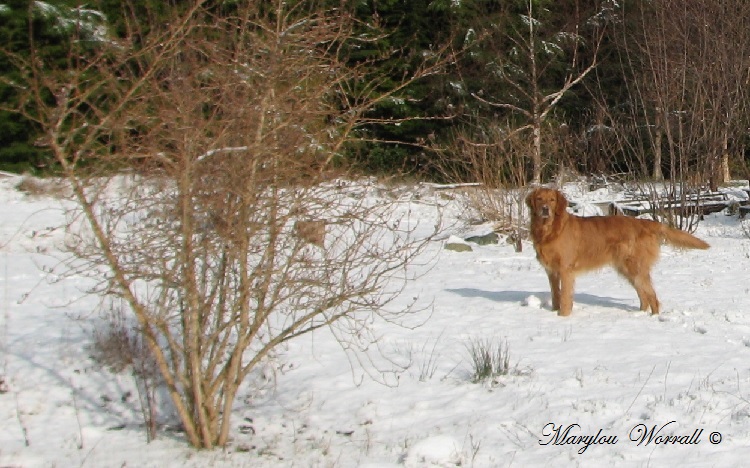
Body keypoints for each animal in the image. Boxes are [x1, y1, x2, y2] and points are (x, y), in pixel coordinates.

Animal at [528, 188, 712, 316]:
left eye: (552, 200)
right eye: (539, 199)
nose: (545, 209)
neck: (549, 231)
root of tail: (644, 222)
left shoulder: (566, 270)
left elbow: (565, 297)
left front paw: (563, 317)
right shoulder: (551, 272)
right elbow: (555, 295)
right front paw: (554, 312)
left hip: (635, 267)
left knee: (652, 295)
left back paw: (654, 318)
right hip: (627, 269)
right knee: (643, 294)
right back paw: (640, 314)